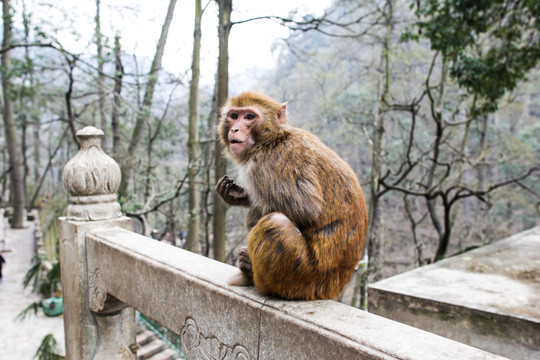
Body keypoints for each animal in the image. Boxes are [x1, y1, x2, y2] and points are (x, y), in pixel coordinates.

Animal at [215, 91, 368, 300]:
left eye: (249, 116)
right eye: (234, 115)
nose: (235, 129)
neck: (271, 138)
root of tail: (334, 288)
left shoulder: (271, 161)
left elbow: (305, 210)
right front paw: (237, 195)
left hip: (303, 278)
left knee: (275, 222)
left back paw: (252, 274)